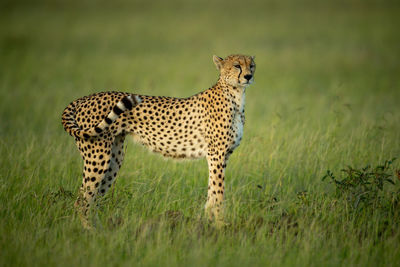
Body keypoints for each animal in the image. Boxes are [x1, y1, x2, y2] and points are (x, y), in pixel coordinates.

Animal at [62, 55, 256, 230]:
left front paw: (209, 223)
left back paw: (100, 231)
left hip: (114, 158)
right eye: (237, 65)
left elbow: (212, 191)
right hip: (98, 155)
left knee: (94, 198)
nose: (248, 76)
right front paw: (220, 226)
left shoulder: (222, 156)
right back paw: (89, 232)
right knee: (82, 200)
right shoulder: (217, 154)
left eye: (251, 65)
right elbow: (218, 192)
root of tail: (84, 98)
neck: (235, 95)